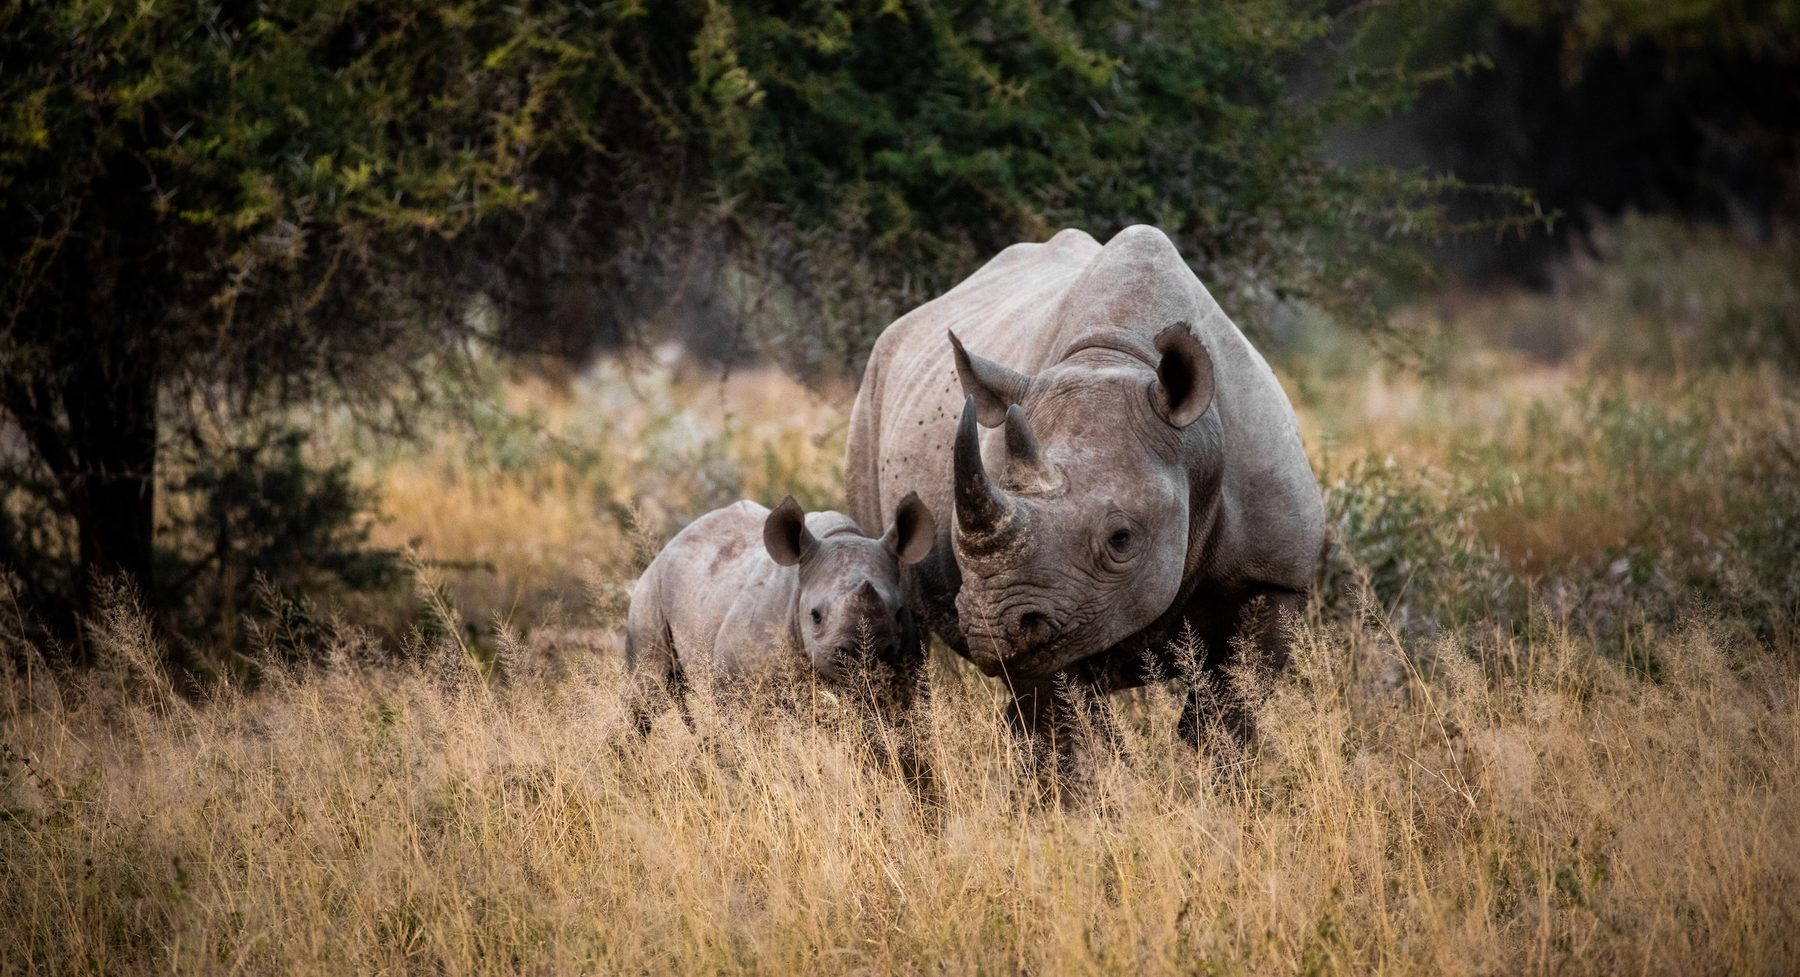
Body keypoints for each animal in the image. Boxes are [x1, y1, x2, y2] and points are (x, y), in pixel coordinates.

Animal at [624, 494, 935, 732]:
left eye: (899, 612)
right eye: (815, 615)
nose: (862, 657)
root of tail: (671, 543)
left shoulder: (907, 678)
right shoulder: (735, 682)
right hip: (649, 593)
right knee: (647, 695)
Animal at [844, 225, 1324, 750]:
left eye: (1121, 539)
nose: (993, 627)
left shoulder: (1275, 577)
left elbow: (1227, 713)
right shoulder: (1055, 605)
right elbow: (1067, 726)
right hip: (869, 400)